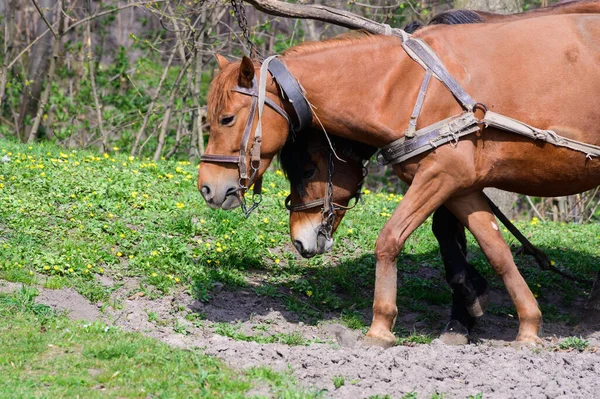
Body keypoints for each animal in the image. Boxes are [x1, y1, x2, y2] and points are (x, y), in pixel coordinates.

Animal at [199, 14, 600, 346]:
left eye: (226, 119)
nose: (207, 187)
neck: (408, 85)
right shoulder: (462, 187)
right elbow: (498, 252)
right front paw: (528, 325)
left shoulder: (440, 176)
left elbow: (389, 239)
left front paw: (380, 325)